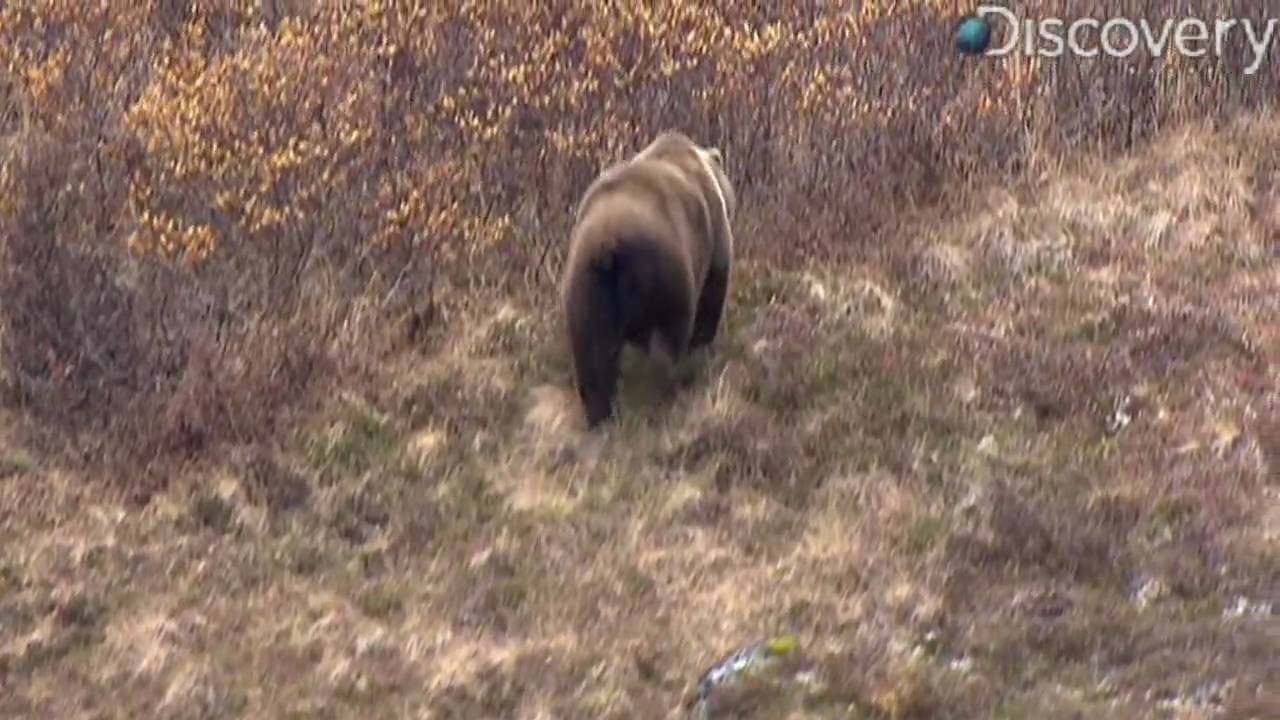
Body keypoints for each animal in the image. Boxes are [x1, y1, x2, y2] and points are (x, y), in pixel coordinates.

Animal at [560, 130, 737, 429]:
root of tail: (608, 246)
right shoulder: (714, 235)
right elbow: (713, 291)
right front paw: (702, 348)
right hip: (666, 274)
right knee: (667, 340)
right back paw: (664, 394)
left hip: (585, 287)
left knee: (592, 357)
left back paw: (601, 417)